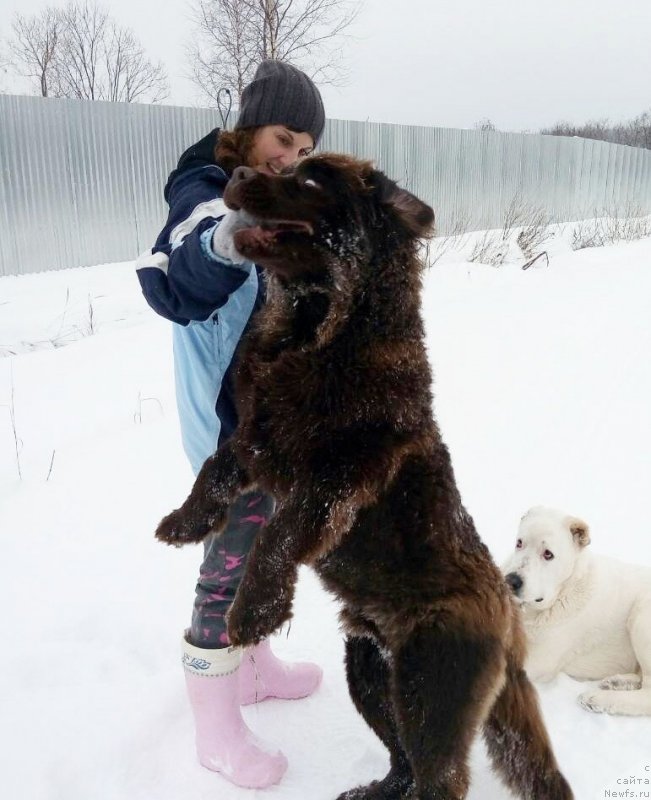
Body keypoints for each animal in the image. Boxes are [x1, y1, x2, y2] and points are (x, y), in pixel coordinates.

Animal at [155, 156, 572, 800]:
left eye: (309, 181)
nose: (241, 171)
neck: (324, 331)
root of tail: (509, 622)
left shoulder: (340, 477)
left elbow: (279, 534)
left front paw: (255, 613)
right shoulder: (258, 440)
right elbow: (214, 470)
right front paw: (183, 522)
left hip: (431, 690)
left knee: (440, 775)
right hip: (370, 669)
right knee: (401, 760)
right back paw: (371, 790)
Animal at [504, 506, 651, 712]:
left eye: (548, 554)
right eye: (519, 543)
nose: (511, 580)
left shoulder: (539, 659)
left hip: (641, 617)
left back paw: (597, 699)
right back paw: (617, 682)